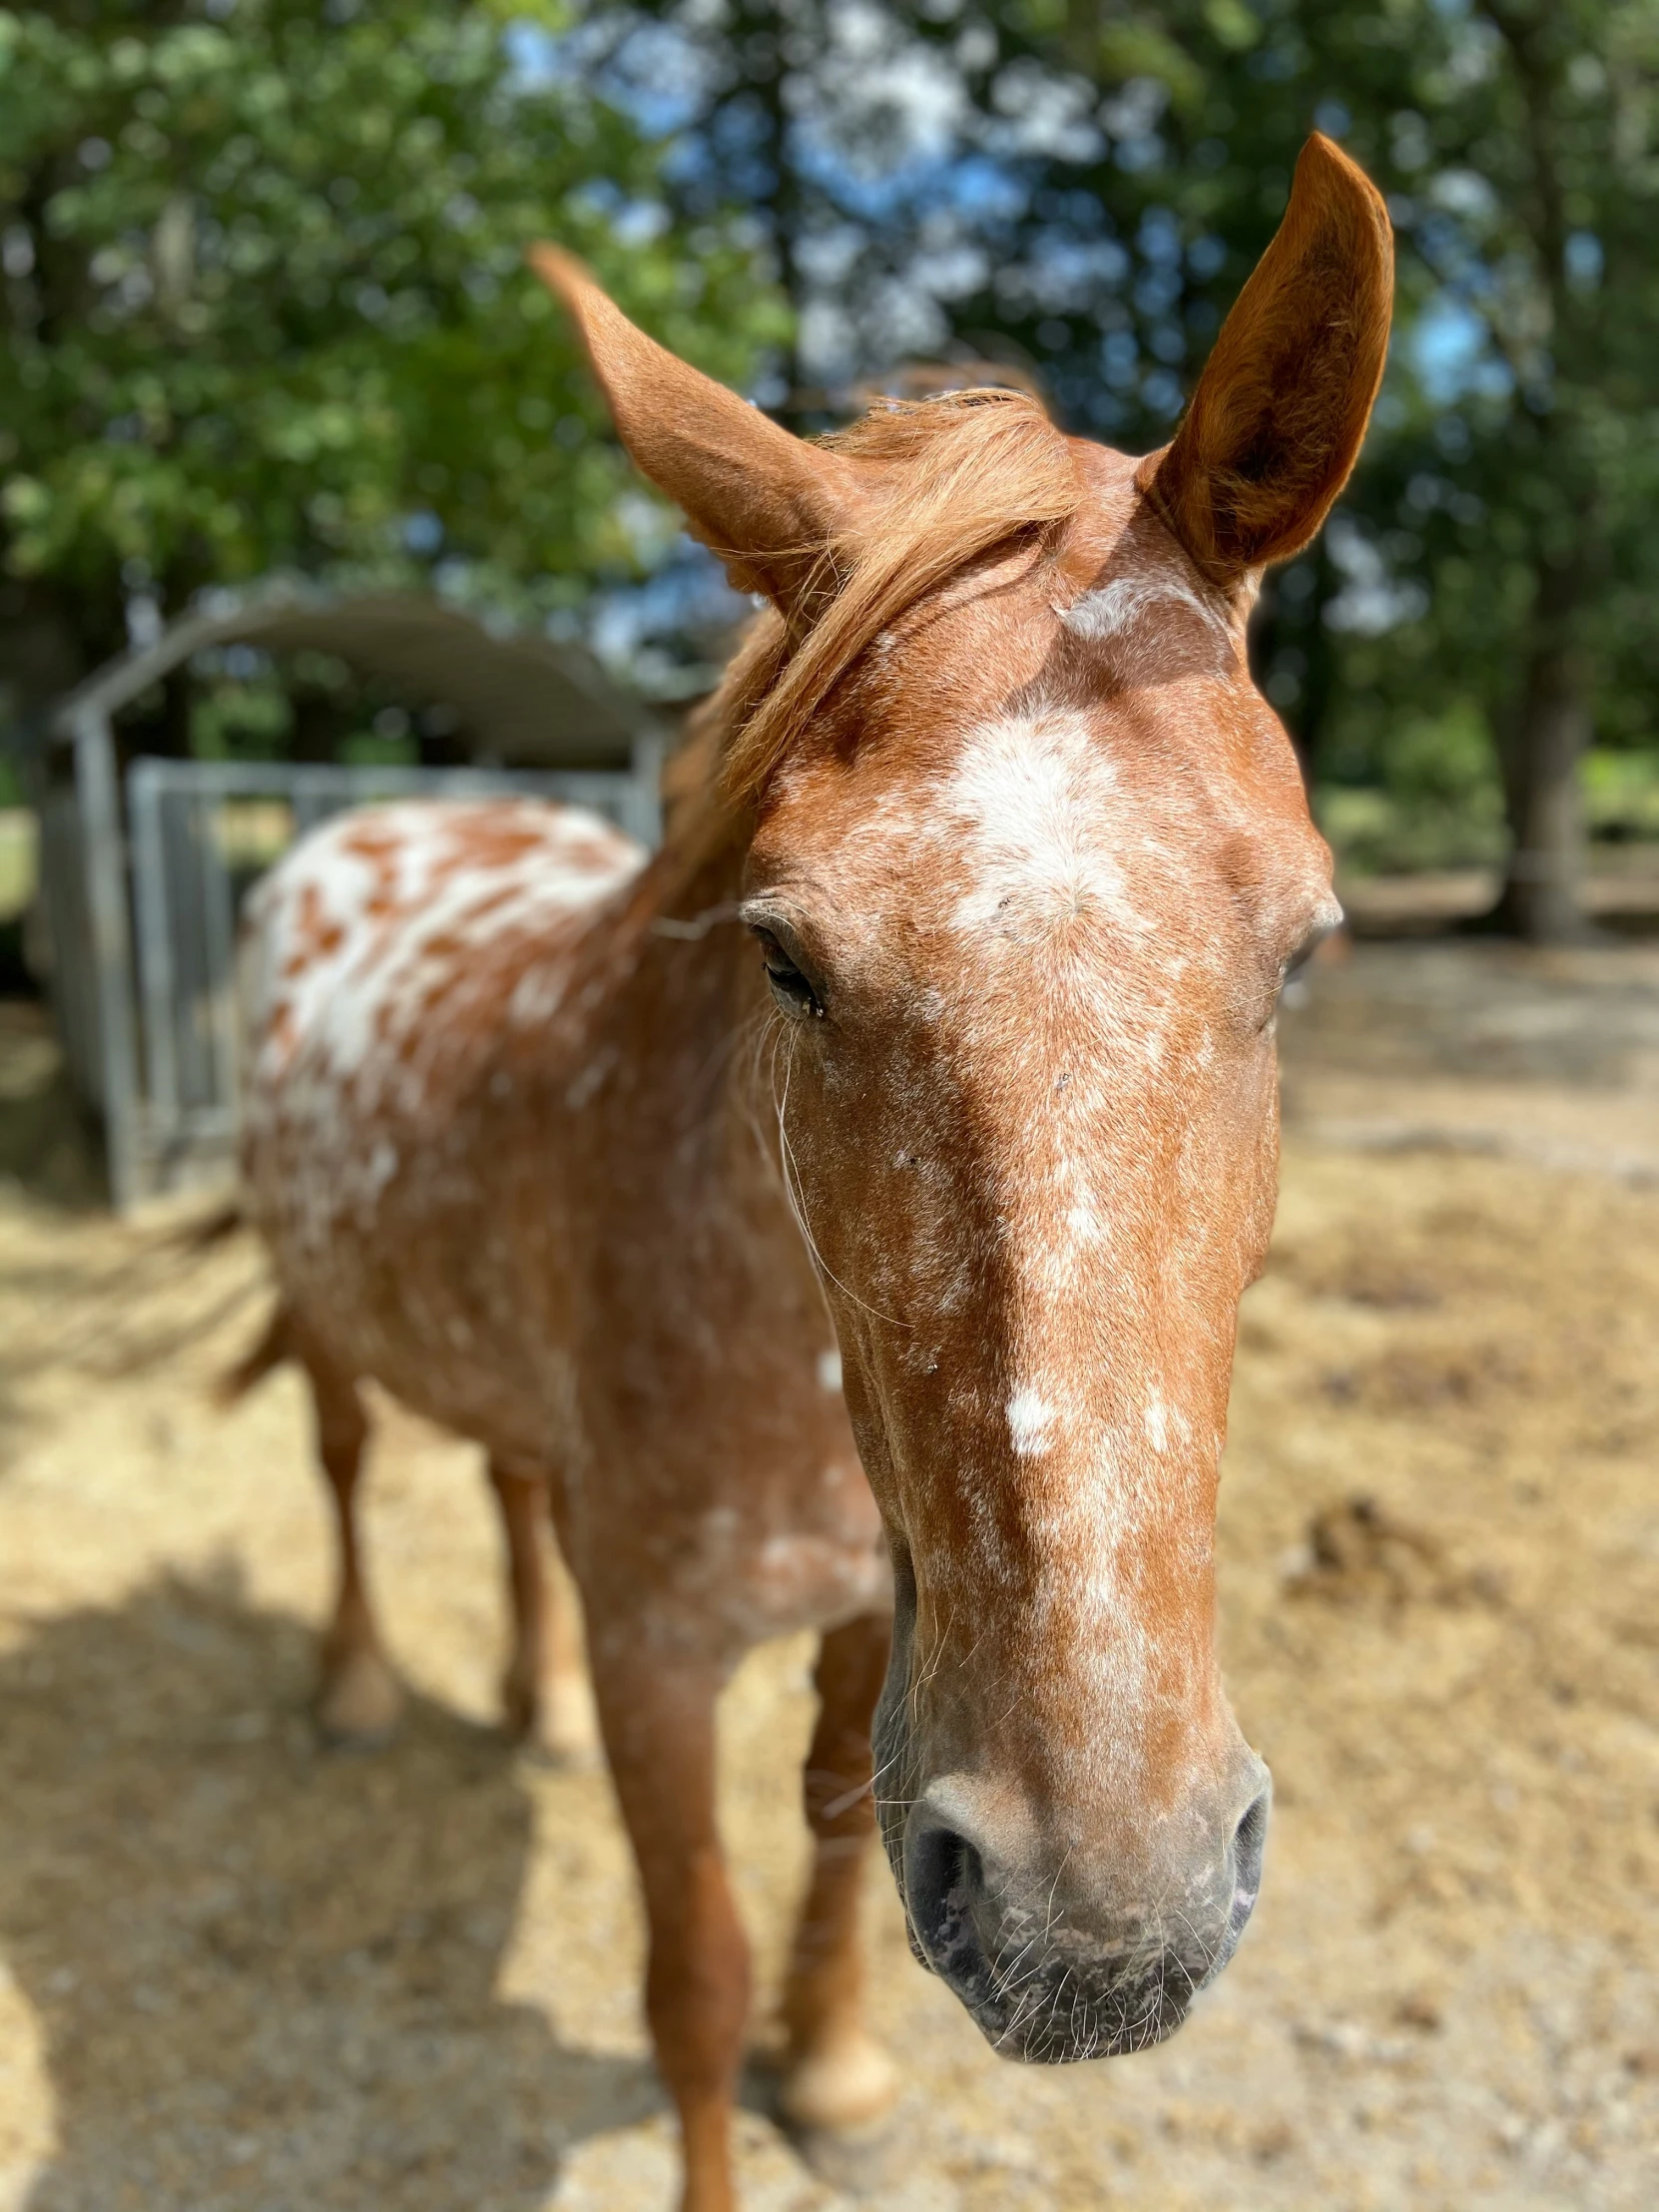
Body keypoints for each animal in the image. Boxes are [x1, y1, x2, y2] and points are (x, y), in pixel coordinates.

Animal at [234, 138, 1397, 2212]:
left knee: (506, 1480)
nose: (1105, 1925)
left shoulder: (876, 1619)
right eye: (784, 958)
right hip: (325, 1307)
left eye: (1304, 952)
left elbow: (845, 1859)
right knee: (353, 1461)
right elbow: (690, 1980)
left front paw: (839, 2072)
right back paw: (361, 1689)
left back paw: (520, 1704)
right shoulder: (663, 1651)